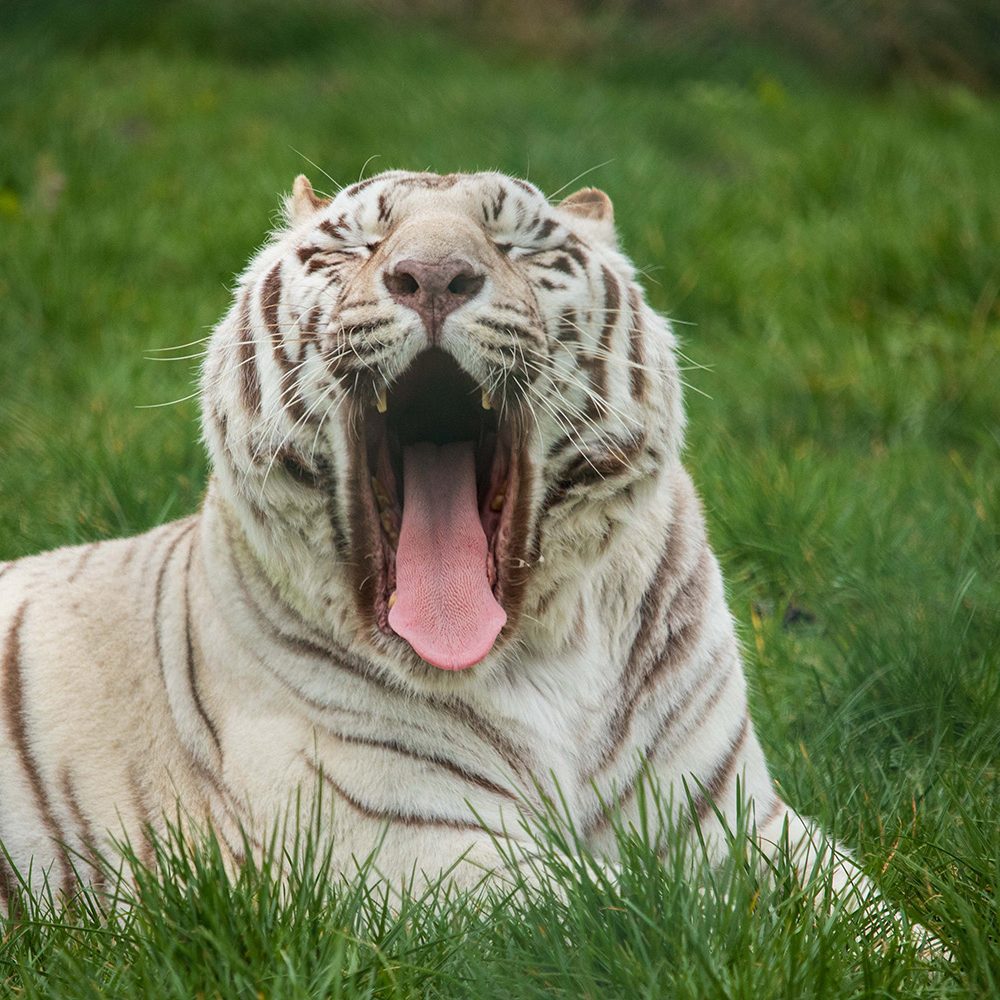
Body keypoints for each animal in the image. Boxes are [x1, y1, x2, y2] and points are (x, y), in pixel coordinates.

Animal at [0, 170, 900, 928]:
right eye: (355, 245)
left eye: (518, 244)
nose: (432, 277)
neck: (551, 653)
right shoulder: (413, 847)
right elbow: (659, 909)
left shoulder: (738, 818)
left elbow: (872, 917)